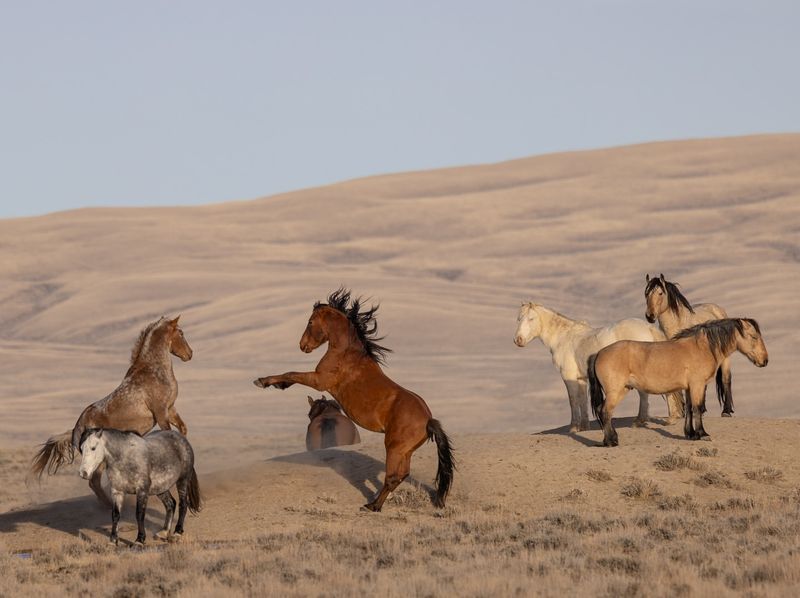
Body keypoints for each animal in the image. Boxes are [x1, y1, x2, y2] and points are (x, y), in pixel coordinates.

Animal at [30, 318, 194, 506]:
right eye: (181, 332)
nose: (189, 354)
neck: (154, 370)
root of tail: (77, 428)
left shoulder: (170, 409)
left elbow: (182, 430)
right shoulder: (161, 413)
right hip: (98, 457)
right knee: (94, 482)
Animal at [256, 288, 456, 512]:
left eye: (310, 321)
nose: (302, 346)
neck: (346, 353)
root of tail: (428, 420)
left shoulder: (319, 381)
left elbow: (291, 374)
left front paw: (264, 382)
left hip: (394, 449)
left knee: (392, 477)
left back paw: (372, 506)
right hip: (405, 451)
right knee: (401, 475)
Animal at [516, 304, 684, 432]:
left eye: (531, 319)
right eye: (518, 318)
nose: (518, 340)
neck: (564, 338)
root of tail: (648, 328)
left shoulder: (568, 377)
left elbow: (573, 400)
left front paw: (573, 427)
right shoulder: (580, 378)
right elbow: (582, 400)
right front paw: (584, 427)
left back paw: (646, 420)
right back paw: (666, 419)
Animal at [592, 322, 764, 448]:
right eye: (754, 336)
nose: (764, 360)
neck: (702, 348)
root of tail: (599, 353)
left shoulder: (689, 388)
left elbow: (689, 409)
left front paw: (691, 434)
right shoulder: (697, 385)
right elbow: (698, 408)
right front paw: (703, 434)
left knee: (603, 410)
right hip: (616, 392)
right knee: (605, 411)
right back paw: (611, 441)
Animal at [648, 274, 736, 418]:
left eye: (660, 293)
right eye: (646, 294)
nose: (650, 316)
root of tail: (717, 309)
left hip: (725, 359)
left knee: (726, 379)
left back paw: (726, 411)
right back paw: (702, 408)